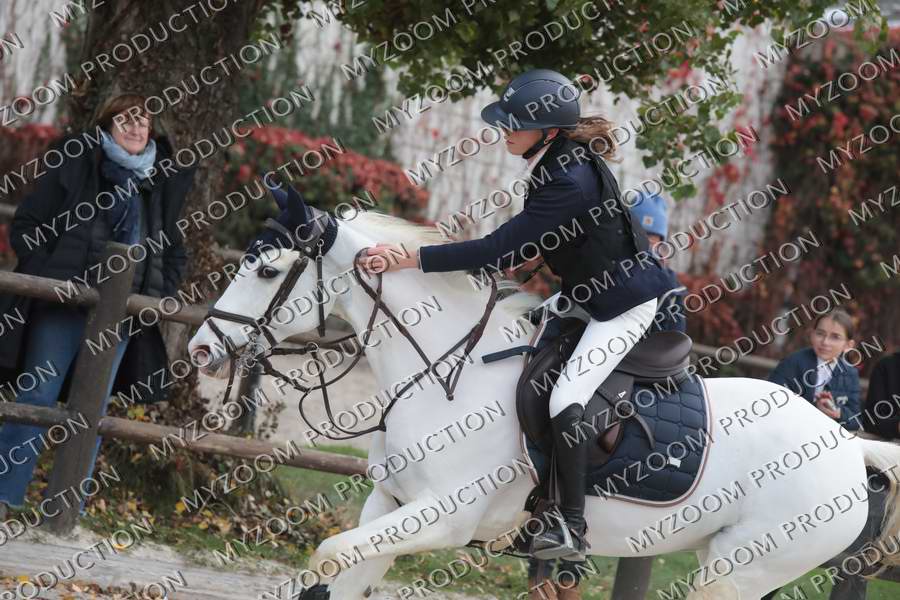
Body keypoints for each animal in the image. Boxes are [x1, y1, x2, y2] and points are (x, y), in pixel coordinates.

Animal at [188, 186, 900, 599]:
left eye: (269, 271)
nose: (201, 349)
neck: (444, 371)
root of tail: (847, 444)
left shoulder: (442, 519)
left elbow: (328, 554)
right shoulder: (388, 502)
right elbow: (339, 566)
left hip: (743, 569)